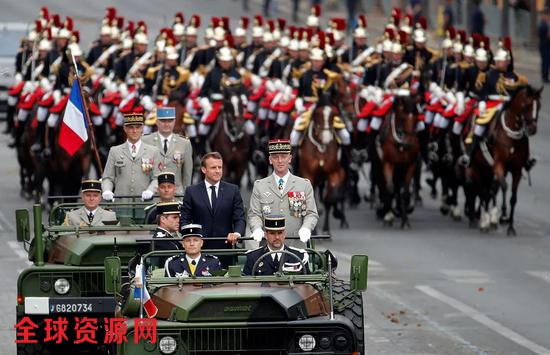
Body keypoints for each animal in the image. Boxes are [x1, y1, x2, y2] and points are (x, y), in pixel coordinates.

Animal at [376, 94, 422, 228]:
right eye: (402, 118)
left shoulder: (410, 165)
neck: (400, 144)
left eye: (416, 118)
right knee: (385, 186)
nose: (409, 143)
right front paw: (388, 215)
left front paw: (405, 220)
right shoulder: (388, 163)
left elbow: (404, 193)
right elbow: (390, 189)